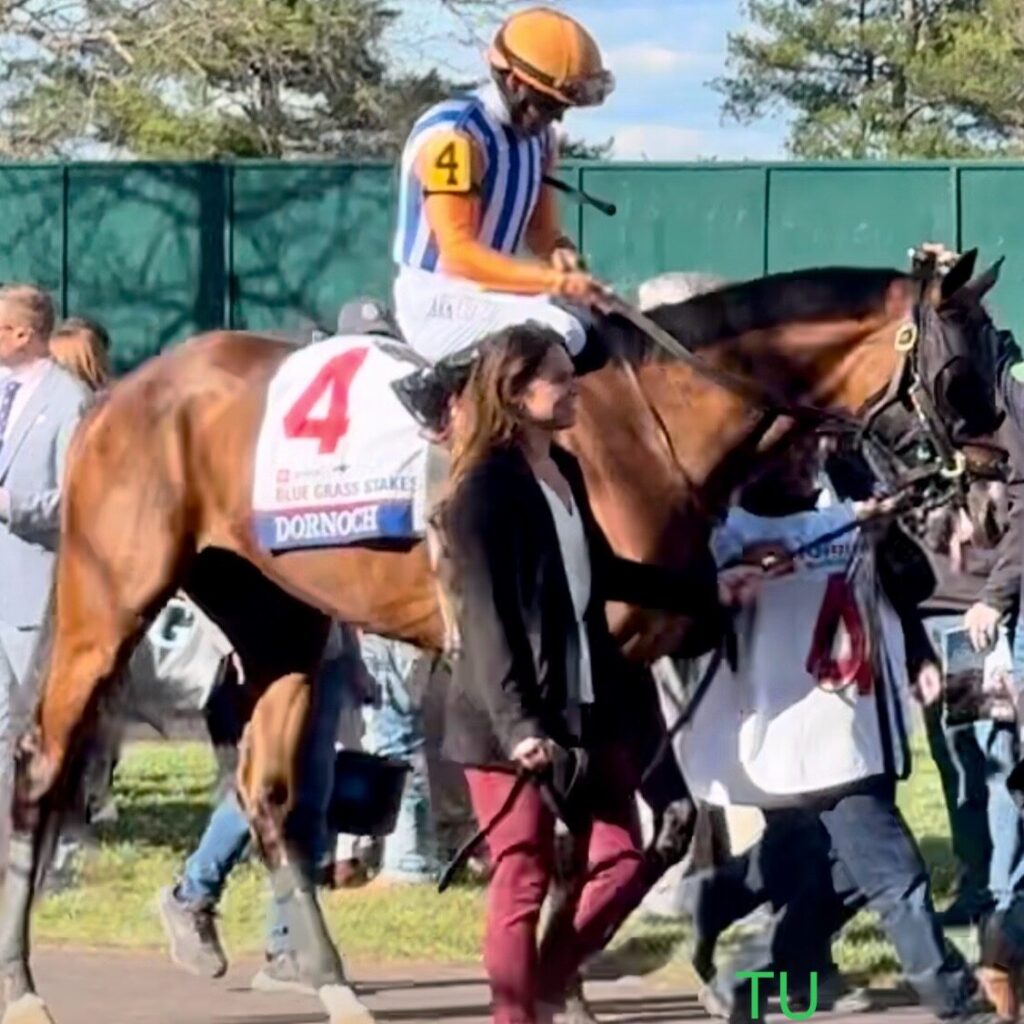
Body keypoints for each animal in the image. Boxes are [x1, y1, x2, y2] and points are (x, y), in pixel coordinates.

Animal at [0, 249, 1007, 1024]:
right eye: (962, 368)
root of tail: (122, 393)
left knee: (271, 796)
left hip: (277, 616)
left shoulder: (620, 664)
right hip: (108, 597)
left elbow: (658, 827)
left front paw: (569, 975)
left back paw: (329, 982)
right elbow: (586, 831)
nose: (996, 495)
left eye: (1002, 358)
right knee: (45, 762)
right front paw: (555, 979)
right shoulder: (594, 662)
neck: (647, 423)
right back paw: (24, 983)